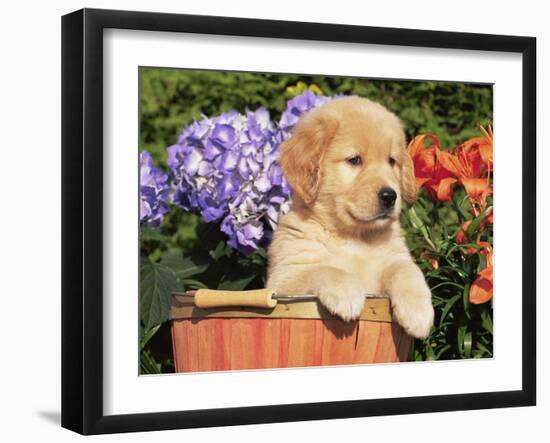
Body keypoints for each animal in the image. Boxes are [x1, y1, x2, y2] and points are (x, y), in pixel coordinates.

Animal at [268, 96, 436, 340]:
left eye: (391, 161)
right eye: (354, 160)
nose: (390, 196)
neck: (355, 237)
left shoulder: (395, 256)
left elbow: (407, 270)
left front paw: (419, 312)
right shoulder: (283, 281)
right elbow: (322, 269)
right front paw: (346, 293)